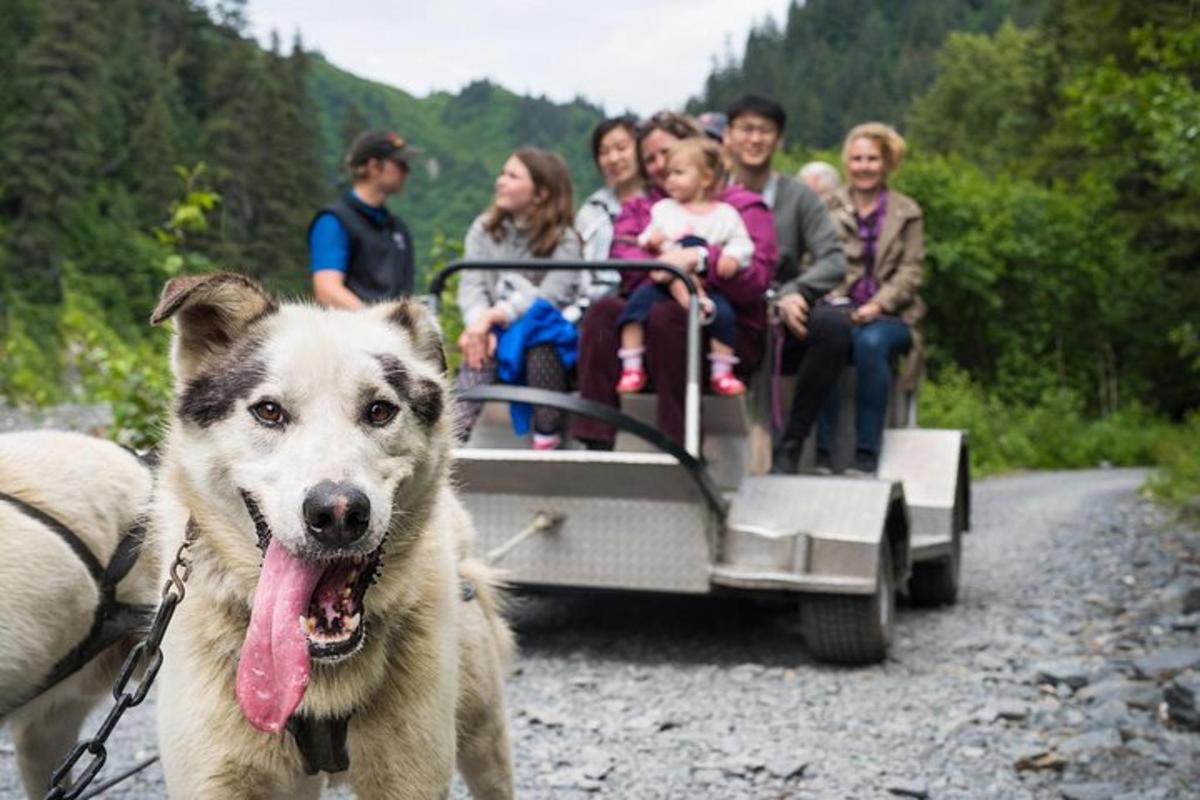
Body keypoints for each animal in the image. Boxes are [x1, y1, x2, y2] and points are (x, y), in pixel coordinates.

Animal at [146, 272, 511, 796]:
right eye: (269, 411)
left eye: (379, 410)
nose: (337, 512)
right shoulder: (214, 779)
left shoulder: (410, 776)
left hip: (484, 739)